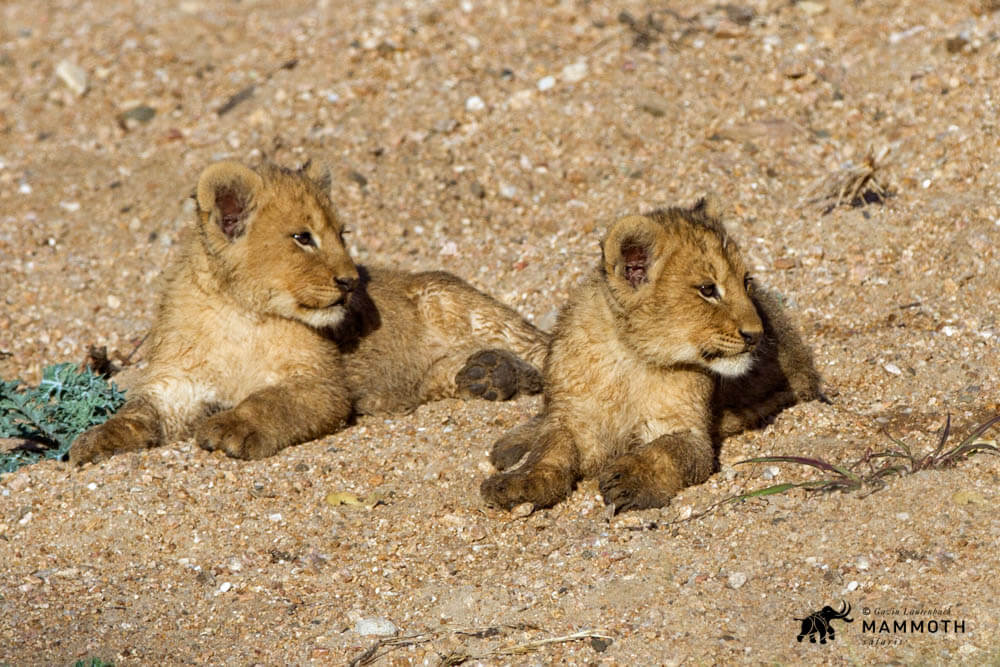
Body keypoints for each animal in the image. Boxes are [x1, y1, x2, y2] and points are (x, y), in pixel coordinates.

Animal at [70, 161, 548, 465]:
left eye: (342, 234)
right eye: (303, 237)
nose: (352, 281)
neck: (240, 314)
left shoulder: (322, 386)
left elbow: (270, 400)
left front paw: (231, 428)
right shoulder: (178, 385)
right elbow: (136, 412)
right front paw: (95, 440)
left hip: (455, 300)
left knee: (539, 347)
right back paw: (488, 374)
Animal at [480, 198, 823, 513]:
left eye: (746, 282)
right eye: (707, 290)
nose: (757, 335)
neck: (629, 358)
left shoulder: (689, 434)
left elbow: (665, 450)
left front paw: (631, 478)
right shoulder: (571, 417)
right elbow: (549, 448)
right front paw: (521, 482)